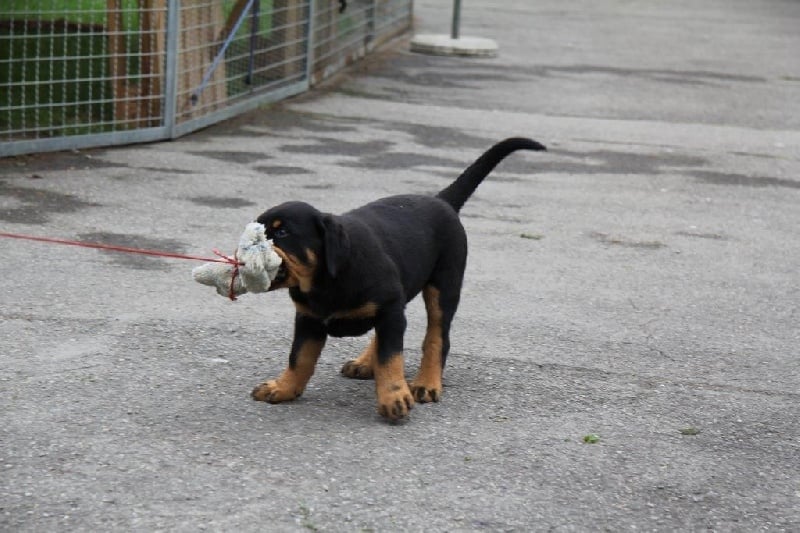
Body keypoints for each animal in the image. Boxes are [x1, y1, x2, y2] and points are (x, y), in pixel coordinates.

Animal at [253, 137, 548, 420]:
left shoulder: (390, 310)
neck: (325, 280)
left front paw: (394, 397)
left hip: (444, 287)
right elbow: (299, 357)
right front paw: (283, 388)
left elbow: (391, 357)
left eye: (281, 233)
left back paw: (426, 382)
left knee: (437, 337)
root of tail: (441, 200)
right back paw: (365, 363)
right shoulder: (309, 319)